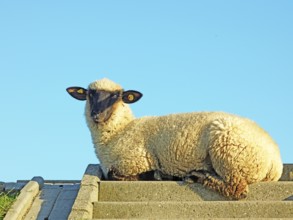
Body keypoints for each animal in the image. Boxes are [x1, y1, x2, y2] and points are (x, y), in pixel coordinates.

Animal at [65, 78, 280, 200]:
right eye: (90, 94)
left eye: (116, 96)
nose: (96, 115)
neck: (118, 132)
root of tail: (275, 161)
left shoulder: (134, 160)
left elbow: (114, 174)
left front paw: (156, 175)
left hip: (228, 151)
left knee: (237, 189)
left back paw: (197, 176)